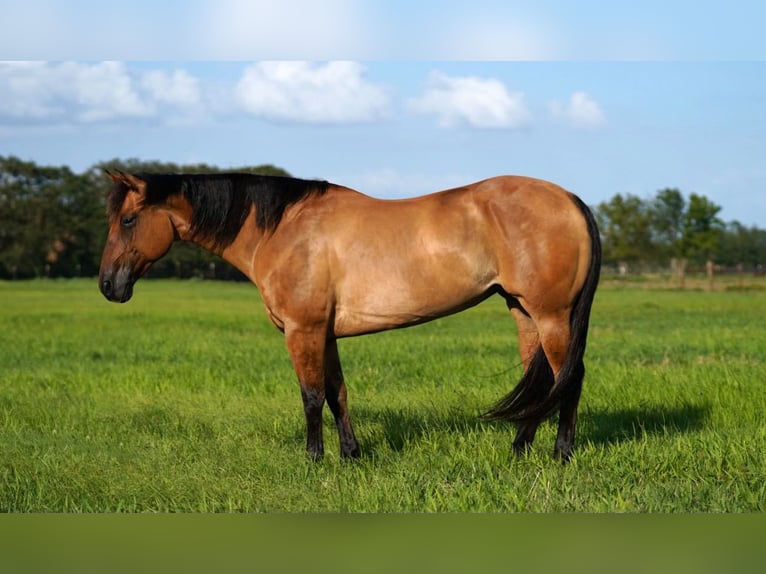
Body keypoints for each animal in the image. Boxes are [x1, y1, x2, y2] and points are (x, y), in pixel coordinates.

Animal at [99, 171, 604, 464]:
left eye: (127, 220)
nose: (108, 285)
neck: (283, 229)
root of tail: (570, 198)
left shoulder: (302, 330)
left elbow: (310, 396)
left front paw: (314, 460)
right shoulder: (324, 334)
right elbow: (336, 393)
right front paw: (351, 455)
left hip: (552, 315)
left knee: (570, 378)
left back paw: (561, 454)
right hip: (525, 312)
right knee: (544, 381)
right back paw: (519, 449)